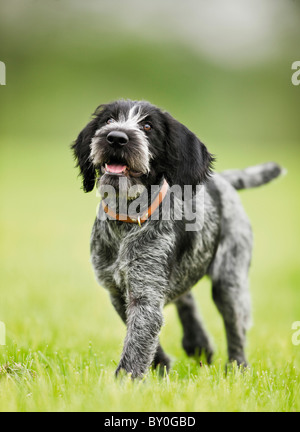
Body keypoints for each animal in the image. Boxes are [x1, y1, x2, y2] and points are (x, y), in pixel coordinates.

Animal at [71, 98, 282, 378]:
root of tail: (221, 181)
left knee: (235, 327)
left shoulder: (146, 291)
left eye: (147, 126)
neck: (127, 219)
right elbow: (141, 335)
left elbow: (137, 344)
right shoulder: (117, 292)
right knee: (186, 297)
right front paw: (160, 366)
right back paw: (197, 342)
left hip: (230, 279)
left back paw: (237, 367)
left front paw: (124, 383)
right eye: (108, 120)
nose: (116, 137)